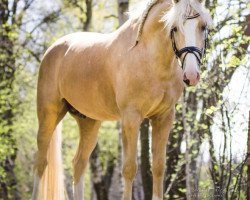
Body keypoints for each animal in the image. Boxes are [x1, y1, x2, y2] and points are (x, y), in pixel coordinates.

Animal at [30, 0, 211, 200]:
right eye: (175, 28)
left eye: (203, 26)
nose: (191, 76)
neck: (147, 56)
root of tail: (53, 49)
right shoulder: (131, 118)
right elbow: (129, 168)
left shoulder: (163, 118)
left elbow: (158, 167)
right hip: (48, 115)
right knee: (40, 162)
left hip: (89, 122)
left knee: (79, 164)